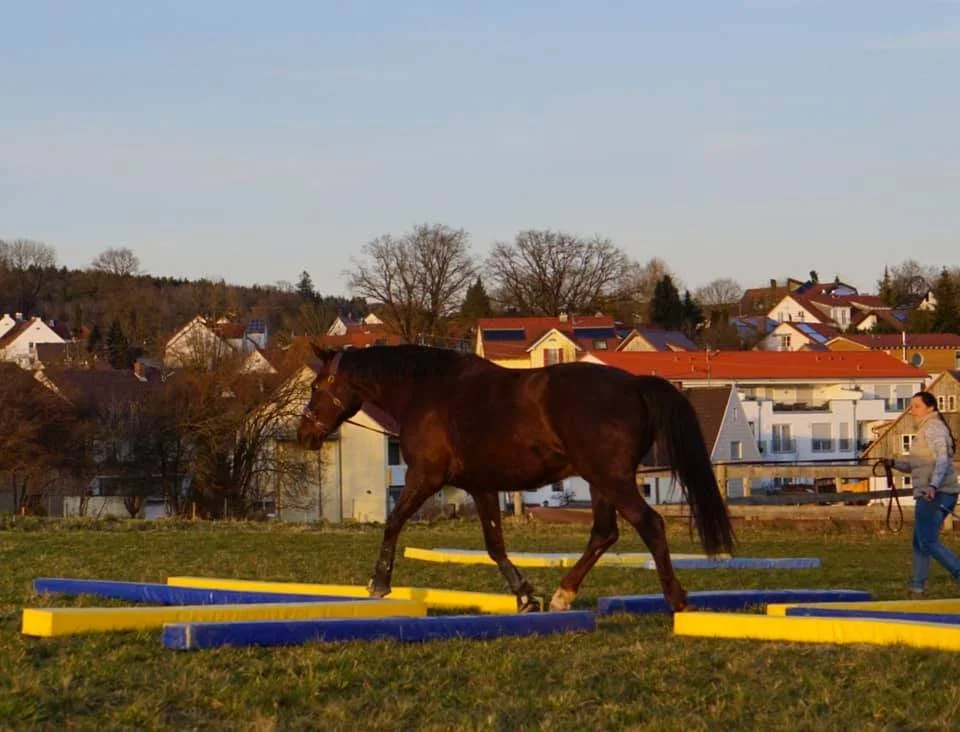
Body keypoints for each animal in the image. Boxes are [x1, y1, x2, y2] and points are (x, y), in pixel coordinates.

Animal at [297, 343, 735, 613]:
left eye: (317, 386)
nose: (304, 435)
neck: (425, 392)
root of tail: (634, 384)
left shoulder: (426, 476)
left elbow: (393, 522)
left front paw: (378, 583)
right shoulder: (481, 485)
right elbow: (495, 545)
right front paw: (526, 596)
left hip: (611, 479)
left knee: (649, 524)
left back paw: (676, 599)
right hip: (600, 481)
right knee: (604, 533)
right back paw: (562, 595)